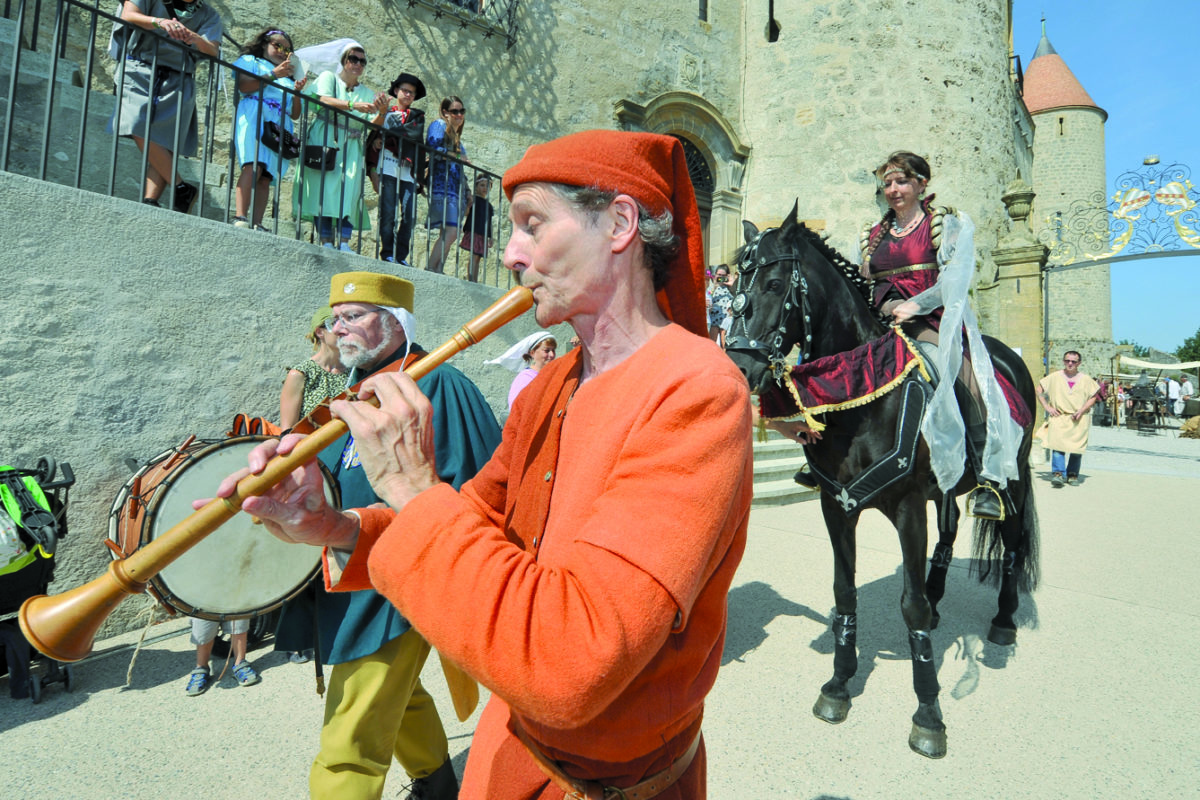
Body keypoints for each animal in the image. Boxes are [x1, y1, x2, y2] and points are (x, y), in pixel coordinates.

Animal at [720, 205, 1041, 758]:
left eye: (775, 283)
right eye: (734, 281)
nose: (738, 366)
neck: (861, 396)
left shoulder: (908, 507)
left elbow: (909, 606)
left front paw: (929, 712)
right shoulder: (836, 506)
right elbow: (844, 594)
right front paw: (838, 685)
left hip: (1012, 478)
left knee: (1013, 541)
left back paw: (1003, 621)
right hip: (946, 487)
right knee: (949, 535)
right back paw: (940, 600)